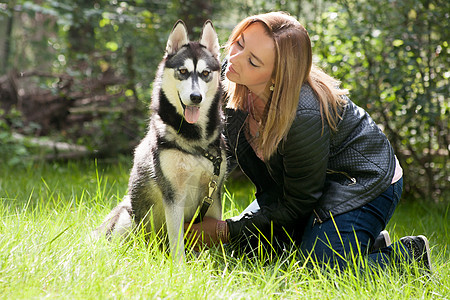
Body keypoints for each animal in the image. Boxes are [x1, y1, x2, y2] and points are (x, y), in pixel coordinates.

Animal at [96, 20, 229, 260]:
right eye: (183, 71)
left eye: (205, 73)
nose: (196, 97)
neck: (195, 139)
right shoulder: (173, 195)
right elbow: (176, 241)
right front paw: (179, 266)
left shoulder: (213, 193)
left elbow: (215, 229)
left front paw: (219, 261)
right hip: (127, 217)